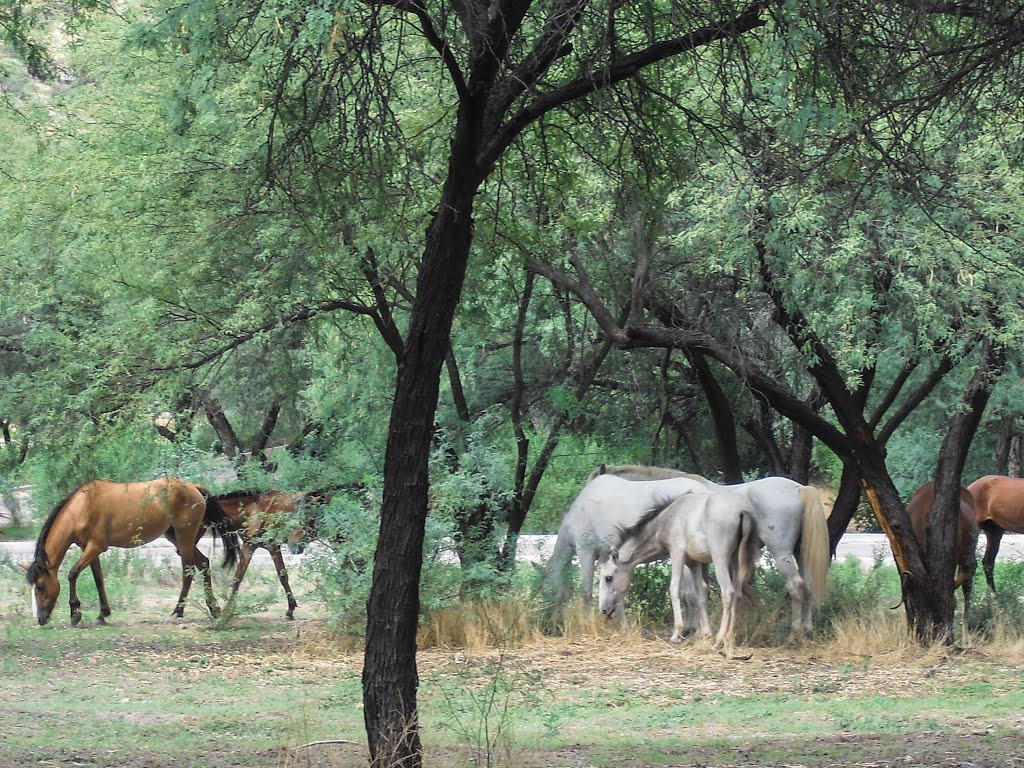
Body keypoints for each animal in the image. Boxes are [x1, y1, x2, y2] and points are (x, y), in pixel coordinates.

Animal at [24, 479, 240, 626]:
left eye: (41, 586)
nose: (40, 619)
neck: (82, 507)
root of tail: (194, 488)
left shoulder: (95, 547)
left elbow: (72, 574)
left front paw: (75, 613)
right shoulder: (90, 549)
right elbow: (98, 579)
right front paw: (102, 614)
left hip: (184, 538)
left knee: (188, 572)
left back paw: (177, 612)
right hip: (179, 539)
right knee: (203, 563)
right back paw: (214, 609)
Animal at [598, 493, 761, 655]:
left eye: (608, 578)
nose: (604, 610)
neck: (667, 520)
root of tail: (741, 511)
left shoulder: (677, 553)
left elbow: (674, 589)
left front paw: (677, 634)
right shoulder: (693, 563)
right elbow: (700, 593)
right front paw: (705, 633)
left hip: (720, 559)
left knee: (728, 592)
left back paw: (720, 640)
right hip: (735, 560)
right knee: (737, 594)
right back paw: (729, 640)